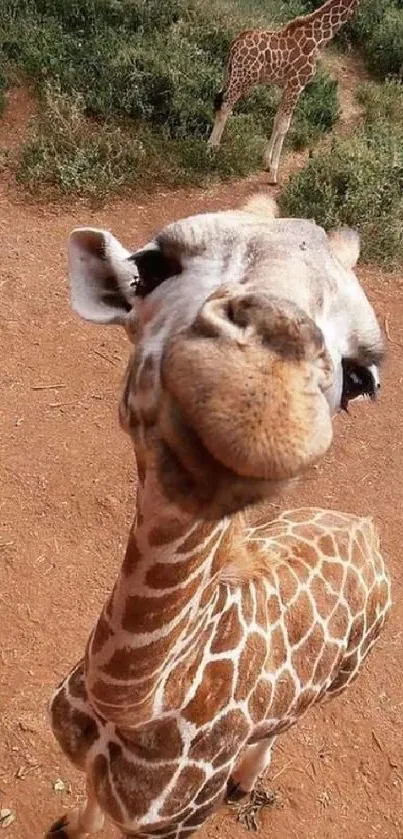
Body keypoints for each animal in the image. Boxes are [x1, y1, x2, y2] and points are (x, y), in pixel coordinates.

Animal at [208, 0, 360, 184]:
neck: (317, 39)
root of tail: (235, 44)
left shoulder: (286, 86)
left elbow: (276, 120)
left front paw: (266, 163)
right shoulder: (297, 84)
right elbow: (284, 125)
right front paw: (274, 174)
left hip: (230, 73)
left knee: (218, 101)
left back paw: (211, 146)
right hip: (242, 78)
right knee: (225, 106)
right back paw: (212, 149)